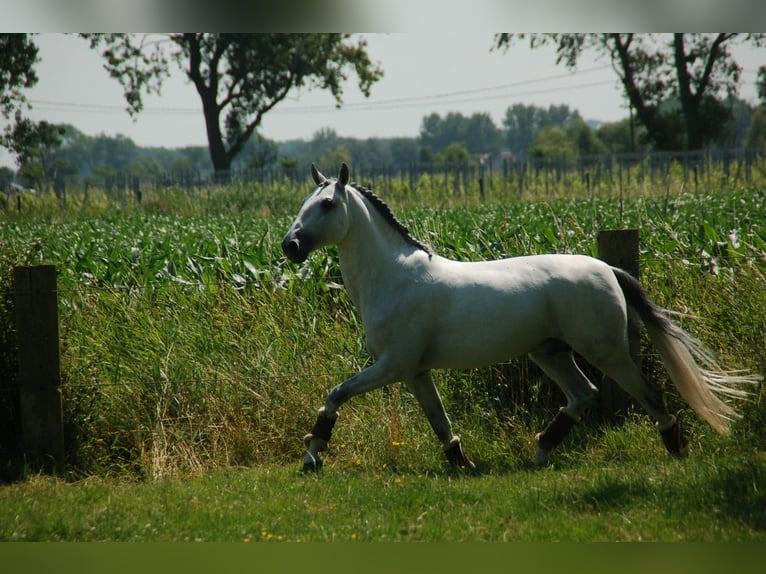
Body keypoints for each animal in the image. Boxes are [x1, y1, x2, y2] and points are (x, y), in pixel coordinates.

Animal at [284, 162, 760, 472]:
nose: (290, 247)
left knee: (649, 394)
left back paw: (677, 450)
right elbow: (440, 423)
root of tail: (607, 268)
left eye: (327, 204)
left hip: (606, 352)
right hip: (550, 353)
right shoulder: (416, 372)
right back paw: (541, 452)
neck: (393, 276)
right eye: (305, 201)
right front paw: (463, 464)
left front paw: (313, 454)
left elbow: (335, 395)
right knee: (583, 395)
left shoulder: (393, 365)